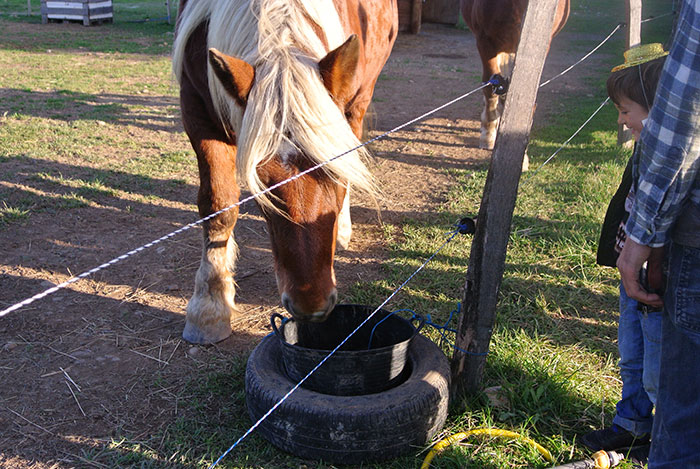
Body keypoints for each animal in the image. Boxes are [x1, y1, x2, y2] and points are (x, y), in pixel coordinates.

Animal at [171, 0, 398, 344]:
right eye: (262, 183)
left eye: (335, 174)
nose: (312, 306)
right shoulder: (197, 110)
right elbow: (218, 205)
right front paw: (209, 307)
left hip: (359, 97)